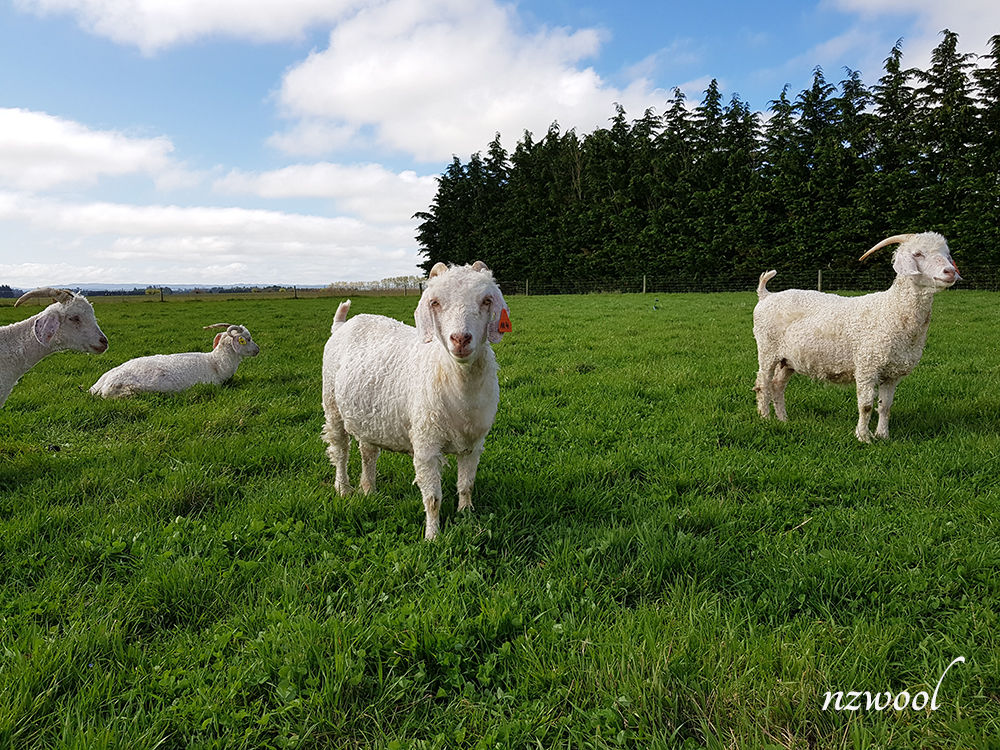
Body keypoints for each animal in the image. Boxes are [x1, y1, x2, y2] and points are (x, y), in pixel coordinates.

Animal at [322, 260, 512, 540]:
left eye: (487, 300)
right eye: (435, 302)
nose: (460, 339)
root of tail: (342, 325)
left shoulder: (474, 443)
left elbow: (466, 484)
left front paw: (466, 516)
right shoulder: (426, 444)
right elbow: (432, 498)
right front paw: (432, 537)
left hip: (368, 417)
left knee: (368, 452)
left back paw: (368, 490)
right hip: (331, 404)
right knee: (339, 450)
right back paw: (343, 489)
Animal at [752, 234, 956, 440]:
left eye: (946, 254)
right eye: (917, 254)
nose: (950, 271)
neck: (891, 310)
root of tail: (766, 295)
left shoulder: (892, 373)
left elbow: (885, 407)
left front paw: (883, 436)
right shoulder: (867, 366)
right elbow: (866, 406)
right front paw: (864, 437)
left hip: (789, 360)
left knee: (777, 385)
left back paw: (783, 419)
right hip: (767, 350)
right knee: (763, 383)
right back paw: (765, 418)